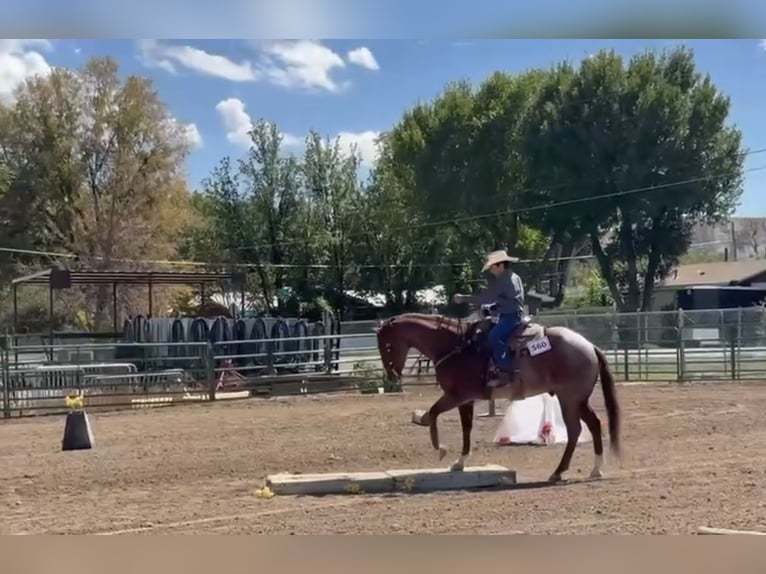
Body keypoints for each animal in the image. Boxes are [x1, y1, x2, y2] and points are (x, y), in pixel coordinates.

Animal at [373, 311, 622, 483]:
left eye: (387, 346)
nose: (392, 377)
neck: (455, 345)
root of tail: (589, 345)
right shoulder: (465, 400)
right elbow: (465, 429)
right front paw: (459, 462)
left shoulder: (455, 396)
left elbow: (433, 414)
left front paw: (441, 449)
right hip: (575, 400)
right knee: (590, 425)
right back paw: (588, 470)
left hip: (570, 399)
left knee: (578, 429)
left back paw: (566, 471)